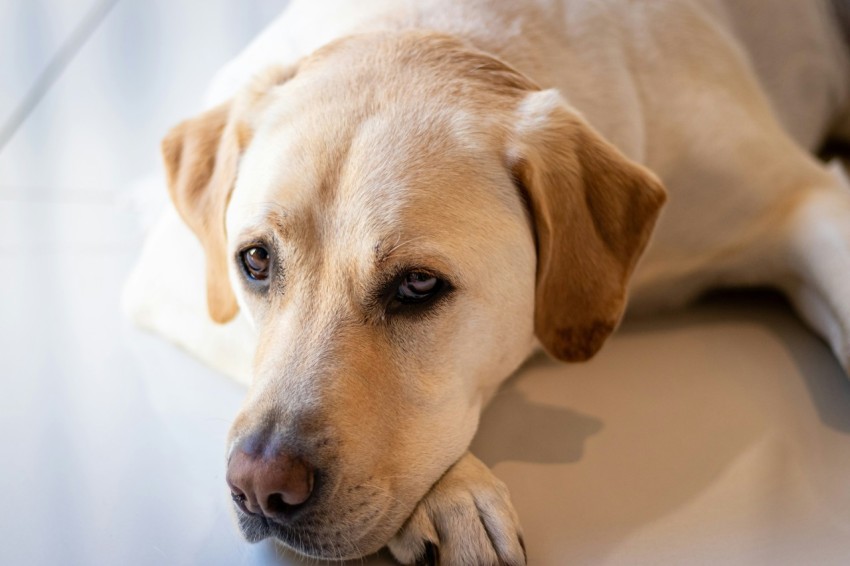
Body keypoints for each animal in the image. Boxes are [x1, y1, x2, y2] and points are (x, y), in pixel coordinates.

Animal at [122, 0, 848, 564]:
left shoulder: (809, 203)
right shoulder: (170, 277)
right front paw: (453, 496)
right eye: (255, 263)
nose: (260, 488)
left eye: (418, 285)